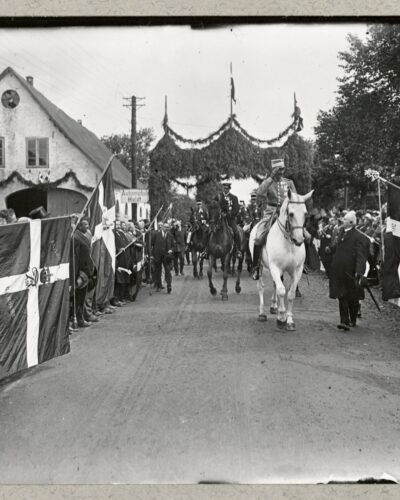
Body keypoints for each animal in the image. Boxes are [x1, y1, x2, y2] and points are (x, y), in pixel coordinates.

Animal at [250, 189, 312, 330]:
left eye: (305, 214)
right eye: (291, 213)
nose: (299, 240)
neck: (288, 243)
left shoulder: (297, 270)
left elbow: (291, 293)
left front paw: (289, 320)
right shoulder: (275, 268)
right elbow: (282, 291)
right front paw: (282, 317)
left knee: (275, 284)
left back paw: (274, 306)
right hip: (260, 267)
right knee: (261, 287)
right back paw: (262, 313)